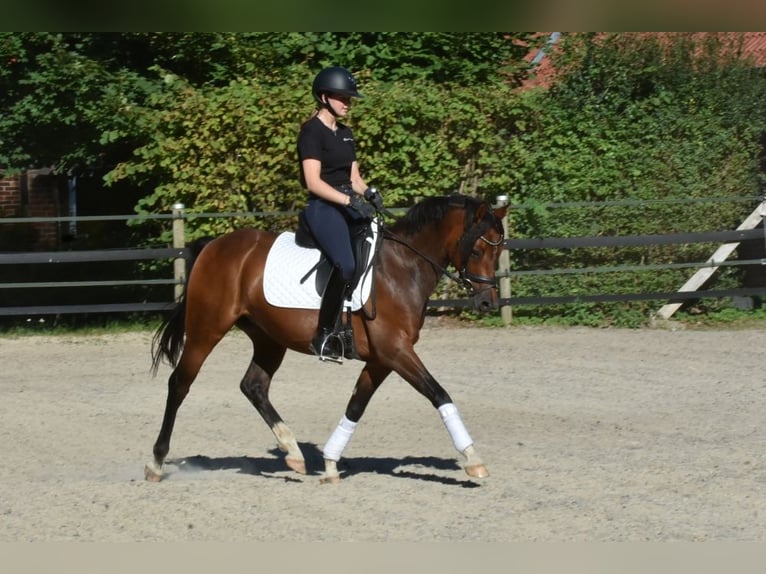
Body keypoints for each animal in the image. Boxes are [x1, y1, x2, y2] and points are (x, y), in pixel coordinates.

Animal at [146, 195, 508, 486]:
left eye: (499, 250)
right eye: (477, 249)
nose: (487, 302)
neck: (403, 268)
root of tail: (214, 246)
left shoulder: (382, 359)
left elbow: (356, 405)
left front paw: (332, 464)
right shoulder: (396, 351)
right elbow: (438, 393)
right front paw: (473, 459)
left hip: (268, 338)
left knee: (254, 385)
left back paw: (293, 452)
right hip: (207, 329)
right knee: (180, 383)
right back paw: (156, 462)